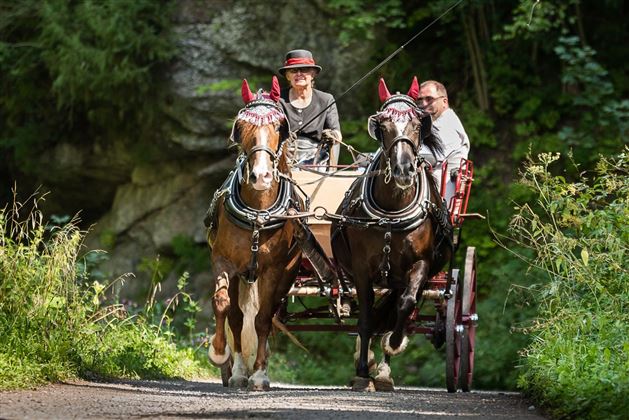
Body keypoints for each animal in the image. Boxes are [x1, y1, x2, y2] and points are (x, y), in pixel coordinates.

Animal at [205, 75, 300, 390]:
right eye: (241, 126)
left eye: (279, 126)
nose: (261, 176)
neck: (258, 215)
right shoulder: (223, 261)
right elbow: (224, 306)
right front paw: (221, 355)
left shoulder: (273, 270)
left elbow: (262, 320)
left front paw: (259, 373)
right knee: (236, 315)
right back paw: (236, 370)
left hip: (286, 275)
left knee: (267, 317)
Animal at [332, 77, 448, 392]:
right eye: (382, 126)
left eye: (418, 125)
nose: (403, 169)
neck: (391, 213)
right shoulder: (361, 269)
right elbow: (365, 317)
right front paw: (362, 370)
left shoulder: (421, 262)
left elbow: (406, 304)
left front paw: (394, 343)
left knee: (400, 306)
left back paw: (384, 369)